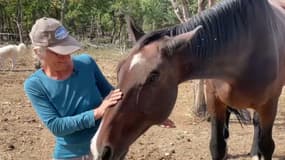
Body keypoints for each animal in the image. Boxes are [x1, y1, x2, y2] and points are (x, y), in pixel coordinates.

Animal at [91, 0, 284, 159]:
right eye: (119, 69)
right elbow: (217, 146)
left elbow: (267, 146)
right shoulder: (214, 101)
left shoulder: (269, 105)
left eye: (153, 76)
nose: (99, 148)